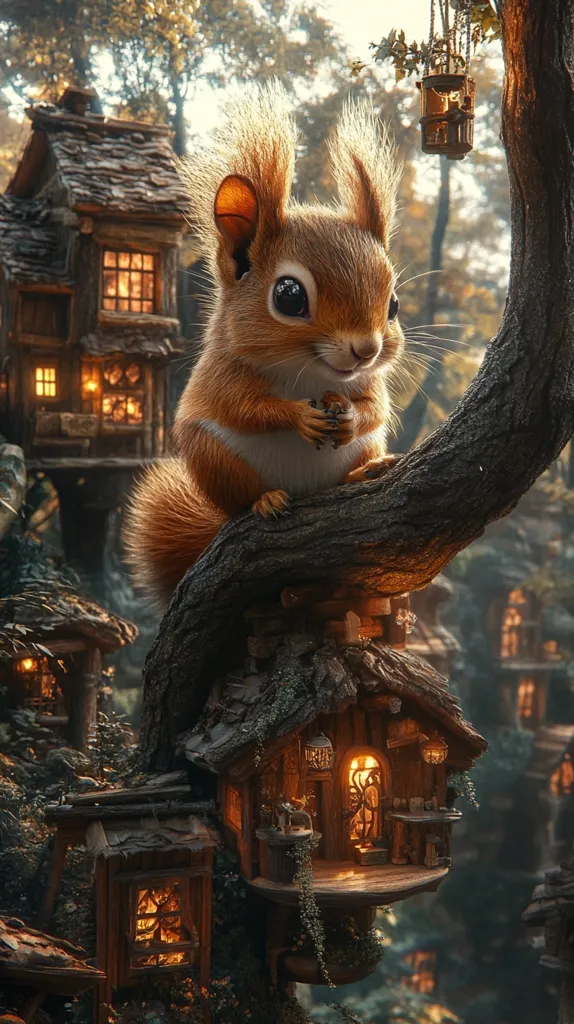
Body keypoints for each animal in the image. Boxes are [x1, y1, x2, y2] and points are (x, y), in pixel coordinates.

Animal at [124, 83, 404, 605]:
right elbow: (245, 408)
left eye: (393, 304)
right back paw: (266, 499)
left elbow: (376, 408)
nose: (367, 350)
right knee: (237, 499)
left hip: (363, 450)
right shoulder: (223, 373)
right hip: (212, 458)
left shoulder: (369, 384)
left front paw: (348, 415)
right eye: (289, 296)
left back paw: (362, 474)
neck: (309, 374)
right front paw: (298, 416)